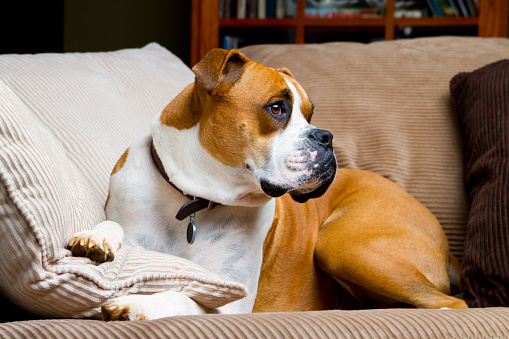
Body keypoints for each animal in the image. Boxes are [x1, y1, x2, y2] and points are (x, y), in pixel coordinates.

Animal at [69, 48, 466, 322]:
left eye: (309, 114)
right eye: (277, 109)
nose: (326, 137)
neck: (192, 200)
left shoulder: (232, 302)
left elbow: (188, 296)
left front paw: (137, 302)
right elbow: (115, 226)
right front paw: (97, 238)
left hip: (341, 245)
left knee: (453, 303)